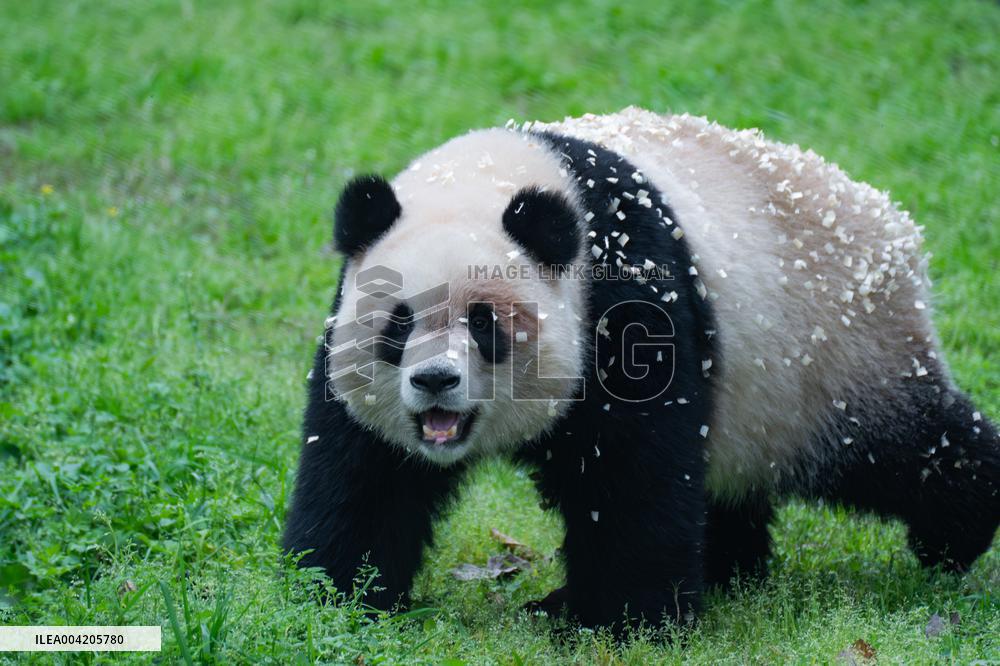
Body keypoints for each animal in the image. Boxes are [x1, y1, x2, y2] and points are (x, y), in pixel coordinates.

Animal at [283, 107, 999, 631]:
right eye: (399, 324)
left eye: (485, 325)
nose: (435, 381)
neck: (493, 178)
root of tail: (893, 228)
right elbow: (366, 474)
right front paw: (336, 596)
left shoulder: (630, 293)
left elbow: (631, 471)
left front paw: (620, 621)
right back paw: (727, 569)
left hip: (830, 352)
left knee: (896, 444)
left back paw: (956, 532)